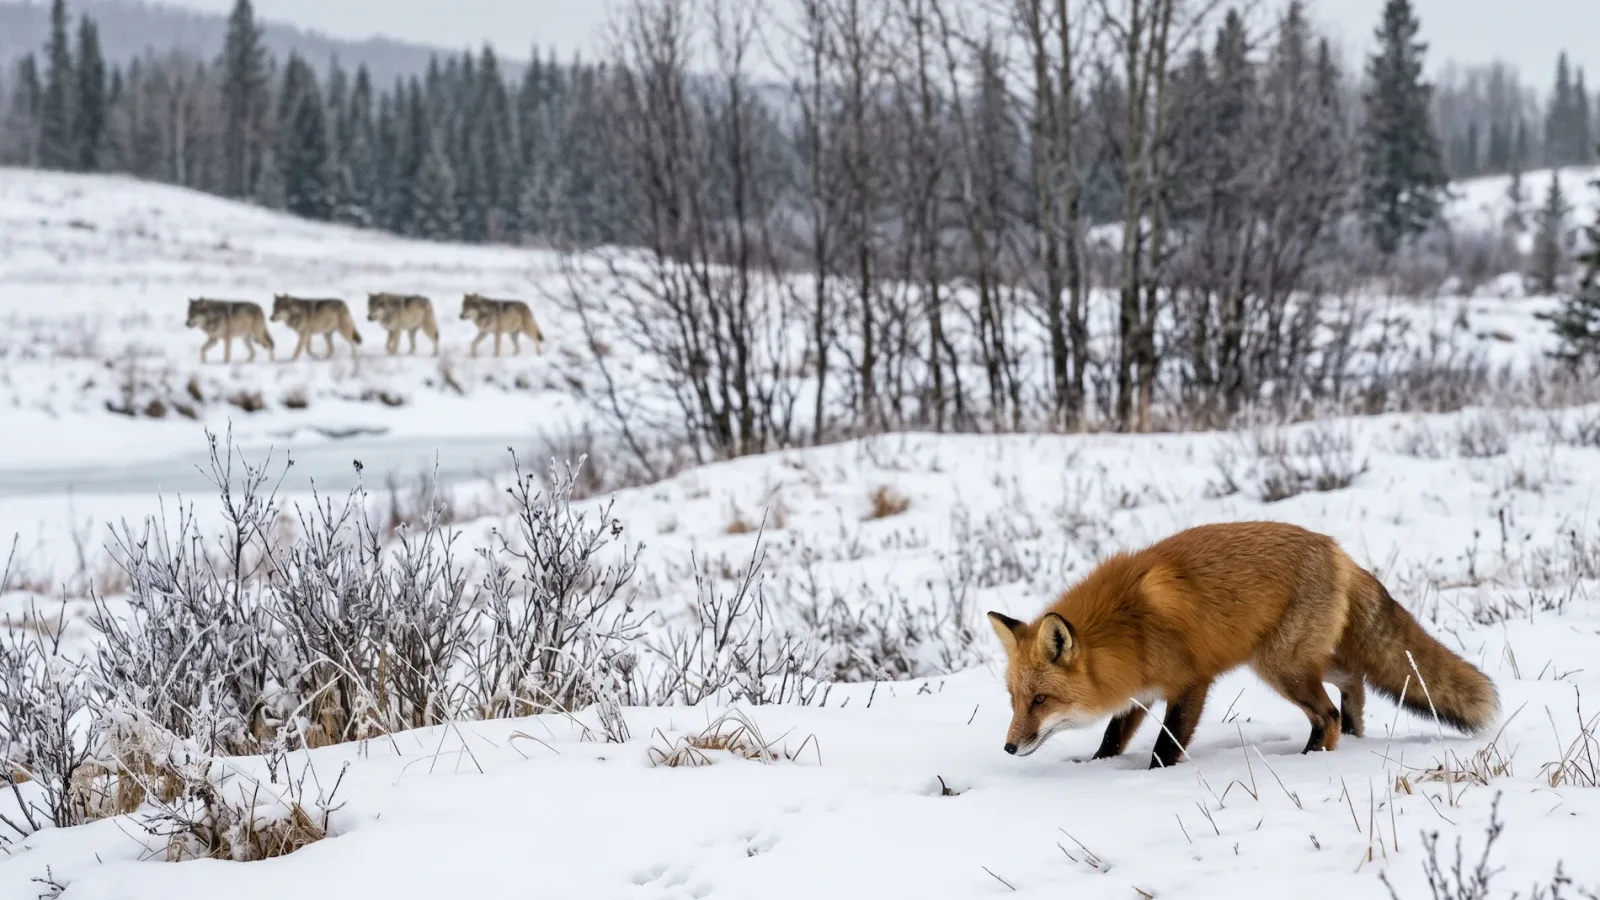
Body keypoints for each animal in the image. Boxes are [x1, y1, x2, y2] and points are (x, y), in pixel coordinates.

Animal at [987, 521, 1498, 770]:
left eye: (1040, 700)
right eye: (1013, 700)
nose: (1008, 748)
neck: (1127, 625)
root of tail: (1337, 550)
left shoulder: (1190, 683)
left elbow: (1165, 747)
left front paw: (1154, 779)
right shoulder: (1137, 691)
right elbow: (1113, 738)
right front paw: (1097, 767)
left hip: (1280, 666)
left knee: (1327, 714)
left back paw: (1313, 759)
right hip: (1303, 660)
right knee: (1354, 681)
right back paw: (1353, 734)